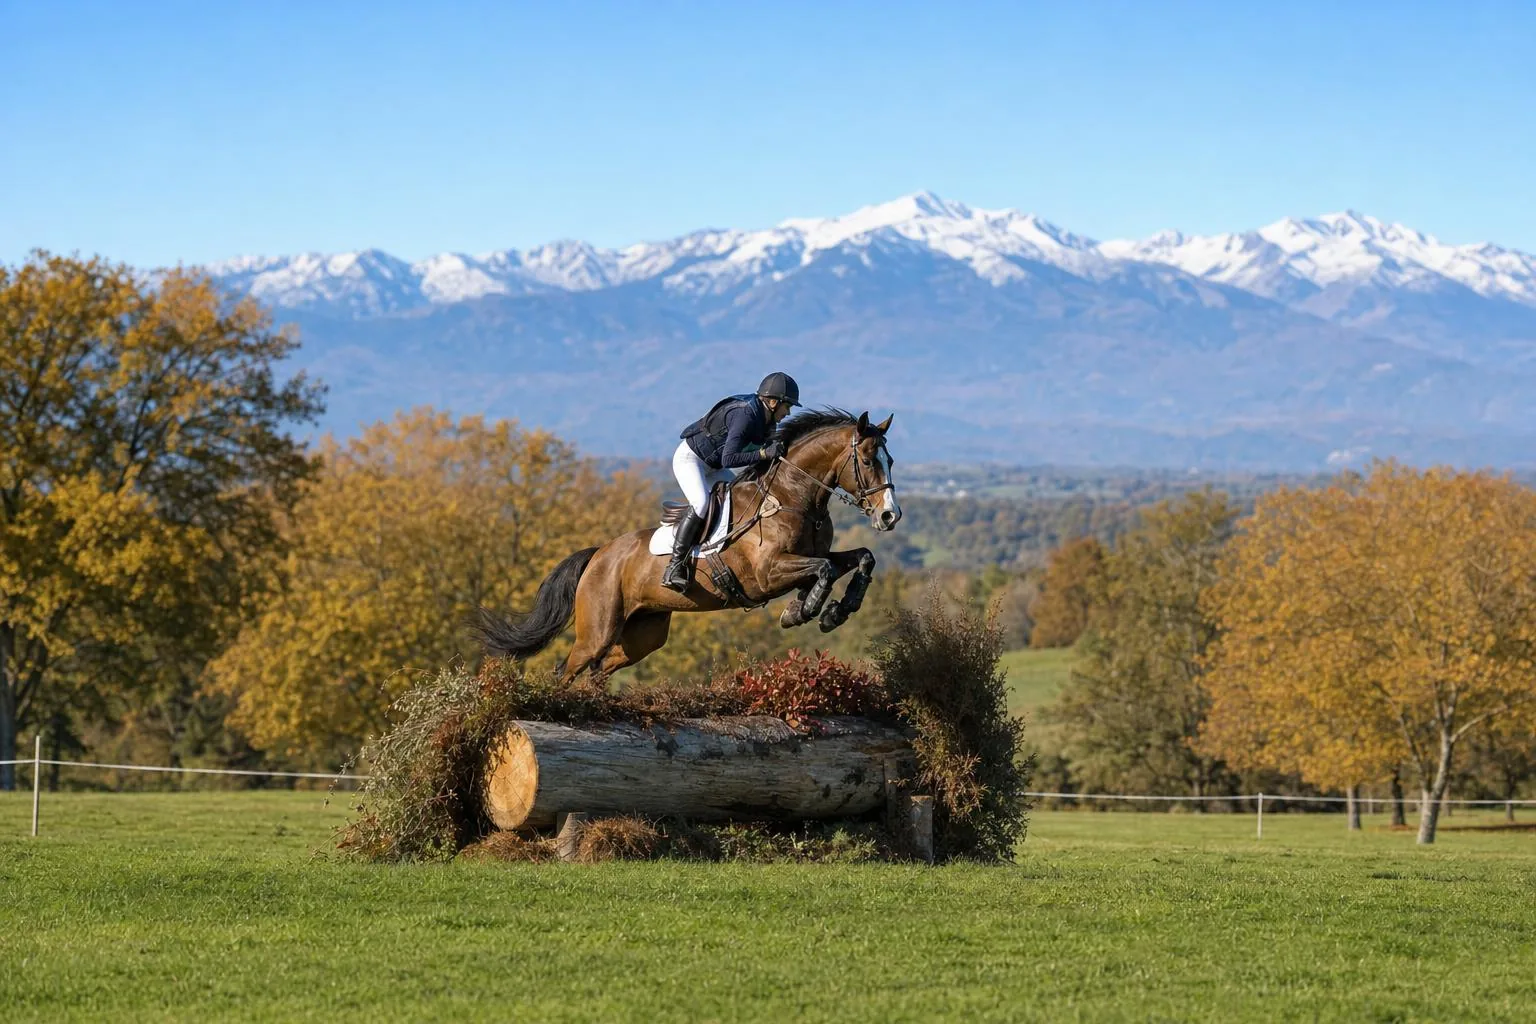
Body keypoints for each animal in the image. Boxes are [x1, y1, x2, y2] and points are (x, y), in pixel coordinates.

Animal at [475, 408, 901, 682]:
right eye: (867, 460)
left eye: (891, 460)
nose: (889, 516)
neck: (791, 496)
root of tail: (599, 555)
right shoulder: (768, 574)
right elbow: (824, 570)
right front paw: (804, 611)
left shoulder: (810, 557)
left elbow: (860, 558)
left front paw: (833, 611)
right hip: (597, 628)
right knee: (569, 668)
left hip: (643, 633)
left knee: (601, 668)